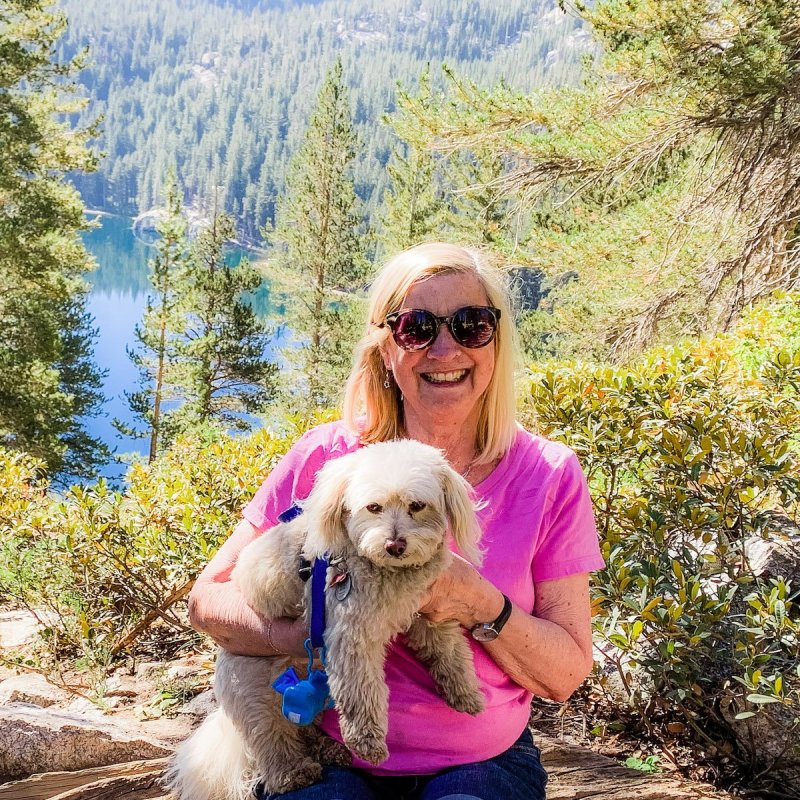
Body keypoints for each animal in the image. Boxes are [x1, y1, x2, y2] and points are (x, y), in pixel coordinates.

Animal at [166, 440, 484, 796]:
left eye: (417, 505)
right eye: (373, 507)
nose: (395, 545)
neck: (386, 569)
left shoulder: (427, 613)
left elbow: (450, 652)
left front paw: (466, 694)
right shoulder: (351, 636)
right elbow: (362, 694)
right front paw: (367, 743)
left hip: (308, 688)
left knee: (304, 727)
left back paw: (328, 749)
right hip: (258, 697)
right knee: (272, 742)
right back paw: (294, 773)